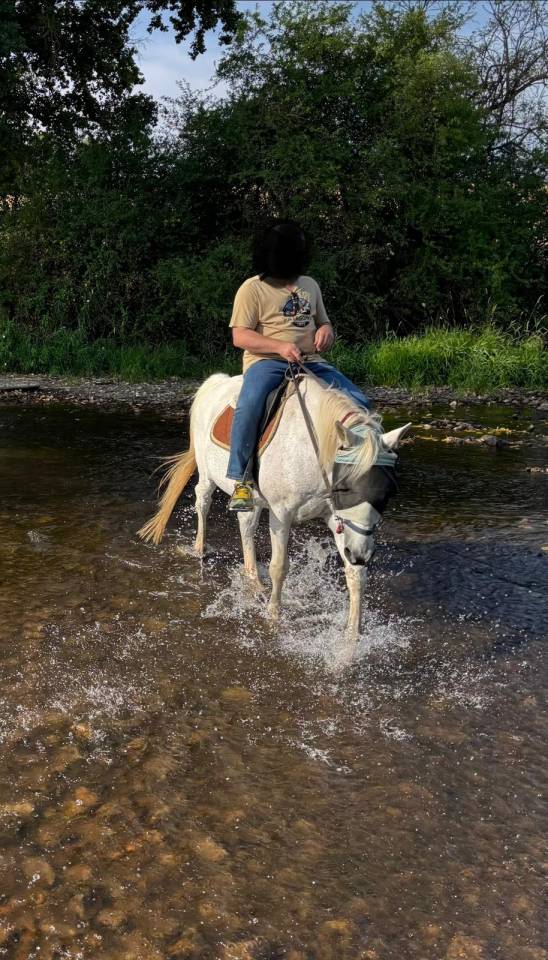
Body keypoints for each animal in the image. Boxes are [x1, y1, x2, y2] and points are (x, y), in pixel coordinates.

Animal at [138, 372, 410, 643]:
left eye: (389, 491)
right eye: (345, 487)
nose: (360, 554)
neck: (310, 450)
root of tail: (215, 382)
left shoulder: (339, 520)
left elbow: (355, 575)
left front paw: (353, 633)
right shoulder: (282, 514)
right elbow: (279, 567)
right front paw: (274, 614)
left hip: (252, 499)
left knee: (246, 526)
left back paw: (254, 580)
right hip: (207, 475)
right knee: (202, 504)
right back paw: (200, 549)